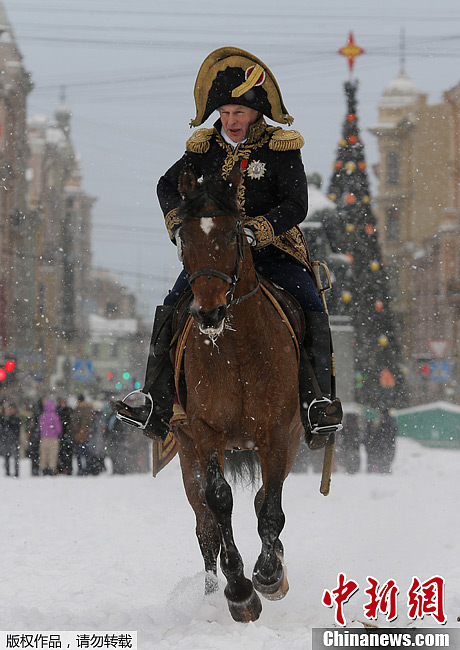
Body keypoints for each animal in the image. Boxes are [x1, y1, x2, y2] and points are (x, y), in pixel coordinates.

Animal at [170, 163, 302, 624]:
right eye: (185, 237)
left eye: (231, 235)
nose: (208, 312)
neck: (238, 350)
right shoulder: (206, 433)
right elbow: (220, 500)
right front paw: (240, 589)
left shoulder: (278, 433)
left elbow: (271, 506)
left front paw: (268, 574)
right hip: (187, 452)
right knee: (205, 525)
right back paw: (214, 594)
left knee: (264, 498)